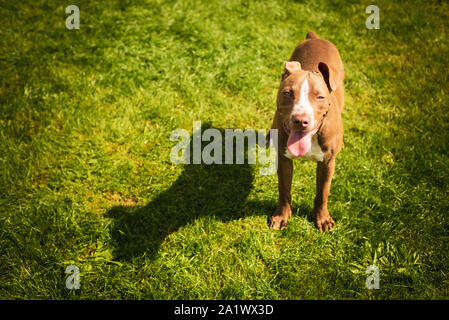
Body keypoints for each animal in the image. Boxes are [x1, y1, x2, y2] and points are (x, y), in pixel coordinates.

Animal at [268, 31, 344, 231]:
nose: (301, 120)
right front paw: (281, 216)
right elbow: (284, 190)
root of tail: (315, 37)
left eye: (320, 97)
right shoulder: (284, 160)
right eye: (287, 93)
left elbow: (323, 192)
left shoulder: (327, 163)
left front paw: (322, 218)